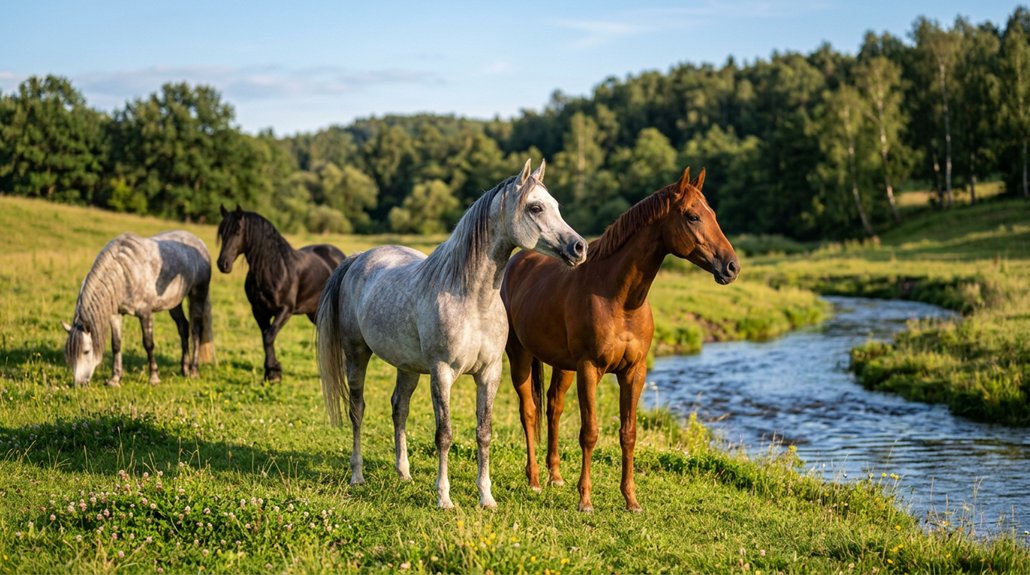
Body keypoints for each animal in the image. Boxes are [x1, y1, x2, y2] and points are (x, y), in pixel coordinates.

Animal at [62, 231, 214, 387]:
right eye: (68, 354)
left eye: (86, 351)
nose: (79, 384)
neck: (124, 272)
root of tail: (199, 242)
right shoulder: (115, 315)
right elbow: (116, 344)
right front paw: (115, 379)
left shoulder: (145, 314)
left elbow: (148, 344)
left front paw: (154, 377)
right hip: (174, 303)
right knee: (183, 327)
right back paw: (184, 369)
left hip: (198, 295)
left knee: (196, 331)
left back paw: (194, 371)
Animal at [216, 205, 346, 382]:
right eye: (222, 233)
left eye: (238, 231)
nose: (223, 264)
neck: (274, 270)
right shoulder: (259, 311)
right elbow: (265, 337)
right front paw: (270, 373)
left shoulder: (285, 310)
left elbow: (270, 335)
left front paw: (274, 372)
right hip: (315, 313)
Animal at [316, 159, 587, 509]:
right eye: (535, 207)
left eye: (556, 205)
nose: (579, 247)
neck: (473, 299)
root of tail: (357, 258)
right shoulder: (442, 372)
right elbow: (443, 434)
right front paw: (444, 497)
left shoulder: (489, 373)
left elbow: (484, 432)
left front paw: (486, 497)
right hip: (356, 354)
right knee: (357, 410)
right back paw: (357, 475)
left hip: (407, 367)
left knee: (399, 409)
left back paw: (404, 473)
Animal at [501, 167, 740, 512]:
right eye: (693, 216)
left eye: (713, 214)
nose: (731, 266)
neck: (619, 298)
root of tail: (516, 263)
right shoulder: (590, 369)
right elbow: (589, 432)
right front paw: (585, 500)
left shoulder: (633, 372)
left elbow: (628, 433)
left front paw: (631, 499)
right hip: (519, 355)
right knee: (529, 411)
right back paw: (533, 480)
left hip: (563, 366)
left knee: (553, 407)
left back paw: (554, 476)